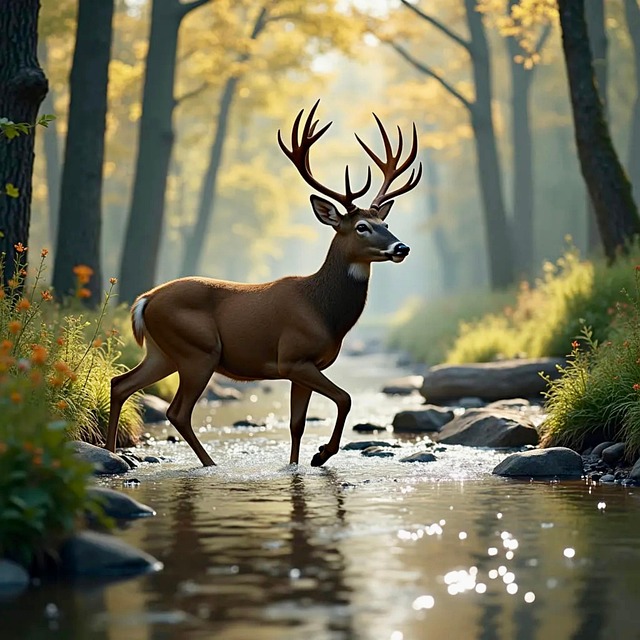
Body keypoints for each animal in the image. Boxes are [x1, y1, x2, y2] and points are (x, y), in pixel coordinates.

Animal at [105, 101, 421, 468]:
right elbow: (345, 398)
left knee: (121, 383)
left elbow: (297, 424)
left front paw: (298, 464)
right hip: (198, 350)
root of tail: (145, 301)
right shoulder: (293, 357)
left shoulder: (307, 366)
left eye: (385, 223)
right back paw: (210, 464)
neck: (322, 311)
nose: (401, 248)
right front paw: (321, 455)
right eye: (361, 227)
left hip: (163, 352)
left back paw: (112, 453)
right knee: (177, 411)